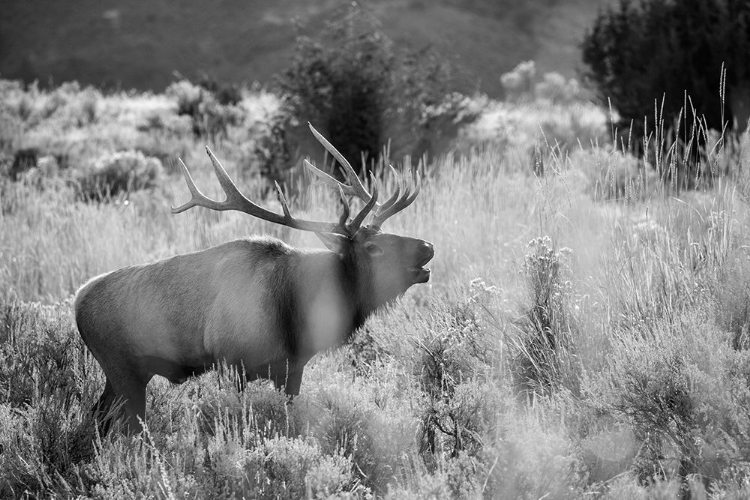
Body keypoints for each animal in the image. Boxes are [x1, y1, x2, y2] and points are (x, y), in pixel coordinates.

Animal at [75, 123, 434, 432]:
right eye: (373, 247)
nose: (427, 246)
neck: (295, 313)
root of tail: (77, 302)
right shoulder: (230, 361)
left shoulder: (291, 368)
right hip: (121, 368)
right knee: (125, 425)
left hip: (127, 373)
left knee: (98, 415)